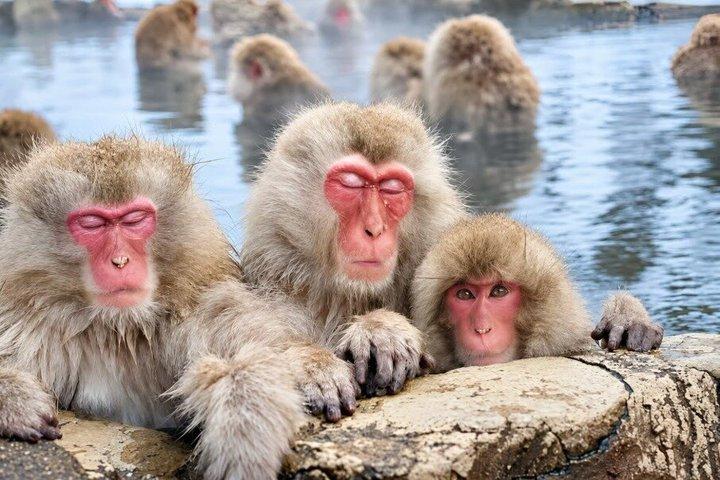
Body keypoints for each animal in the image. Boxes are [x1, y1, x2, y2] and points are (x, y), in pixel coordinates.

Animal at [0, 136, 315, 478]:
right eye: (92, 224)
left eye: (135, 220)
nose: (120, 261)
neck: (119, 328)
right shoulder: (30, 325)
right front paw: (15, 400)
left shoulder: (200, 311)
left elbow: (248, 357)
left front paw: (243, 440)